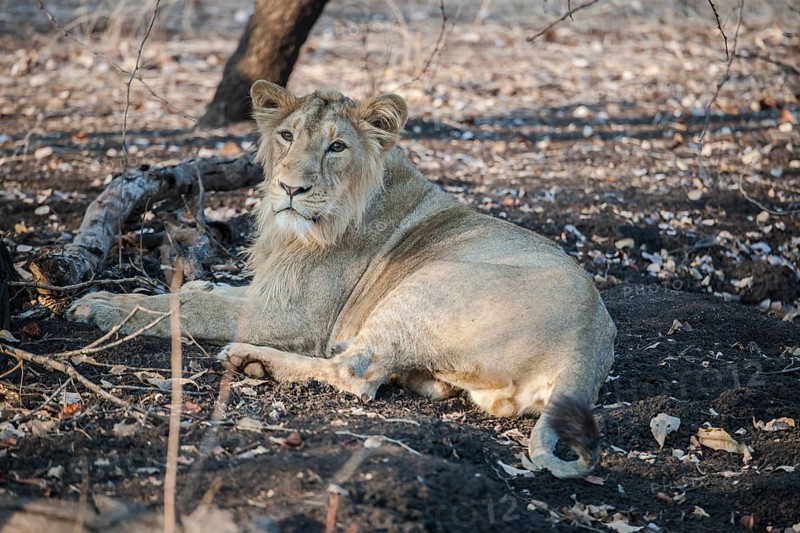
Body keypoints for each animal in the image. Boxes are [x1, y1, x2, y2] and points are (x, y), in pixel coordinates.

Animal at [68, 81, 616, 479]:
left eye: (336, 147)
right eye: (287, 136)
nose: (290, 188)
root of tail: (589, 346)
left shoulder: (293, 317)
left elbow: (182, 307)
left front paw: (101, 305)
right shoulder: (269, 292)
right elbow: (208, 293)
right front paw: (198, 284)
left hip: (425, 286)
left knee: (357, 373)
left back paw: (251, 362)